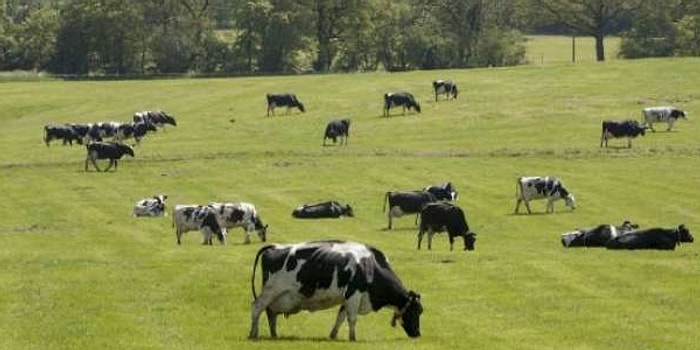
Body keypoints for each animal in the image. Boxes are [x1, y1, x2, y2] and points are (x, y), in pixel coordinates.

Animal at [247, 239, 422, 340]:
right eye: (417, 311)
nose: (418, 334)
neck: (370, 266)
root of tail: (274, 246)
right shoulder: (354, 293)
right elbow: (352, 318)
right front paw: (353, 338)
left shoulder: (347, 297)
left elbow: (341, 317)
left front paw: (333, 336)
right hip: (270, 290)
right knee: (257, 308)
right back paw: (253, 334)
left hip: (276, 296)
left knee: (270, 313)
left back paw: (274, 335)